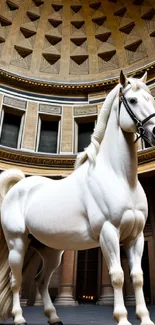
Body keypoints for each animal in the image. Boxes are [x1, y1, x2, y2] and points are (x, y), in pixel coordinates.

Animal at [0, 71, 155, 324]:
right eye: (132, 100)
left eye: (150, 97)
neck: (119, 176)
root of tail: (18, 186)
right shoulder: (109, 233)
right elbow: (118, 275)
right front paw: (122, 318)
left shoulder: (136, 236)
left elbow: (137, 276)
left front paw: (144, 318)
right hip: (17, 244)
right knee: (15, 281)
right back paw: (19, 317)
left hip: (50, 250)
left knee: (40, 281)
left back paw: (53, 316)